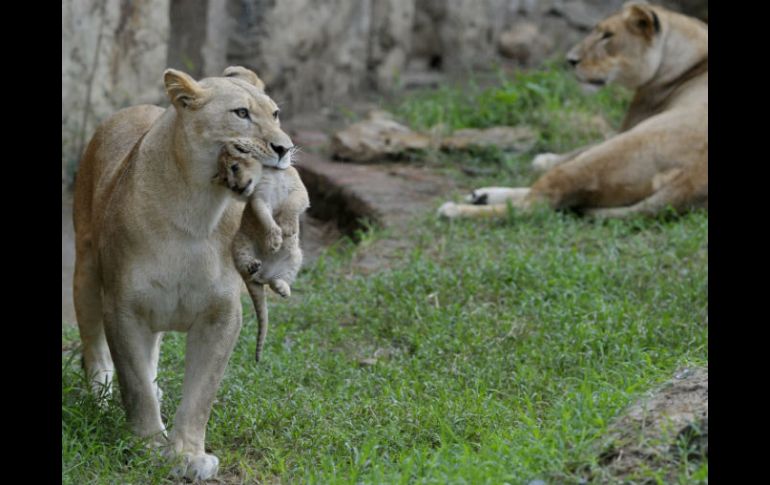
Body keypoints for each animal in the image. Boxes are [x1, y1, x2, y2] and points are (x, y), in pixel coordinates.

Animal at [72, 65, 293, 480]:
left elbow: (200, 394)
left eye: (275, 114)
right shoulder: (122, 308)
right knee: (94, 348)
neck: (197, 210)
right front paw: (148, 446)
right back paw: (101, 395)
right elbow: (135, 384)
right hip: (85, 274)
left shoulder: (221, 315)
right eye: (241, 113)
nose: (284, 148)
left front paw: (188, 453)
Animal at [215, 139, 309, 362]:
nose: (286, 152)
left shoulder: (300, 190)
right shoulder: (259, 198)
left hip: (296, 256)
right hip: (240, 243)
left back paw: (282, 287)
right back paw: (252, 266)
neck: (275, 173)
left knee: (276, 282)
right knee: (249, 272)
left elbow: (293, 204)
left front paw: (288, 228)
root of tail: (265, 272)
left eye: (234, 167)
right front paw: (274, 238)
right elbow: (264, 216)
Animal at [438, 2, 707, 220]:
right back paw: (481, 195)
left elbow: (573, 150)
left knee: (536, 205)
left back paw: (455, 210)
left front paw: (542, 159)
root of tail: (695, 178)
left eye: (607, 35)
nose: (570, 60)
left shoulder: (631, 124)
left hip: (614, 151)